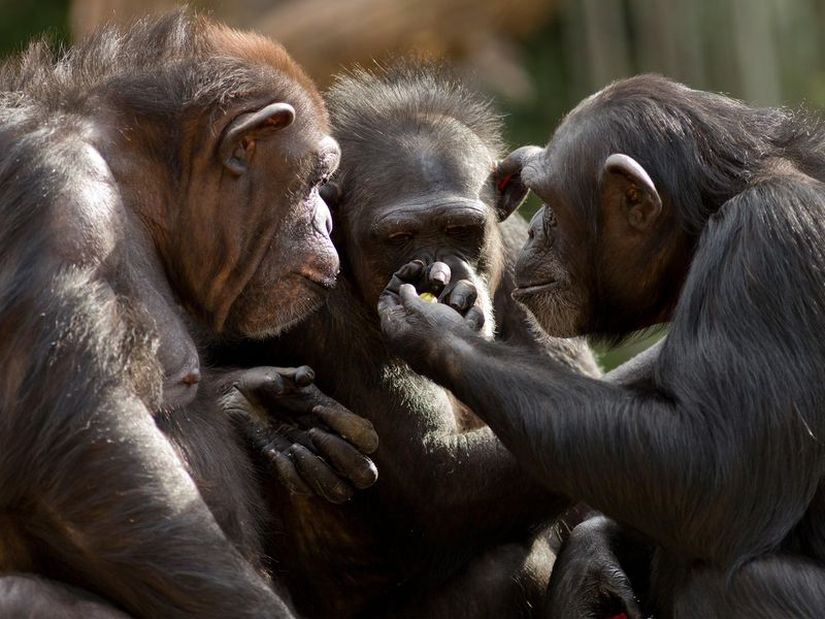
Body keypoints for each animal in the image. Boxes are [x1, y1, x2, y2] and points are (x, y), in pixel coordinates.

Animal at [0, 13, 378, 619]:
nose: (326, 218)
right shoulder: (57, 201)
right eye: (318, 179)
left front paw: (261, 409)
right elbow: (87, 451)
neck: (130, 181)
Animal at [224, 64, 600, 619]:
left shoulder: (529, 255)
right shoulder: (309, 303)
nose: (440, 274)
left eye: (462, 228)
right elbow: (435, 475)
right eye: (399, 238)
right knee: (505, 568)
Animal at [380, 74, 825, 619]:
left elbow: (717, 471)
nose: (533, 227)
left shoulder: (768, 241)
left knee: (730, 584)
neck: (709, 218)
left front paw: (435, 327)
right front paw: (591, 563)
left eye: (551, 203)